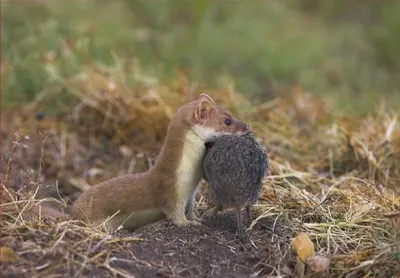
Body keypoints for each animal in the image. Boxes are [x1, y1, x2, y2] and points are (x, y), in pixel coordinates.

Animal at [34, 94, 248, 232]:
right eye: (227, 120)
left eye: (230, 113)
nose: (247, 125)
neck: (189, 177)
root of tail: (73, 212)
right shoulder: (171, 189)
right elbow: (175, 213)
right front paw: (189, 224)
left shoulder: (191, 192)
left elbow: (191, 207)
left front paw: (196, 217)